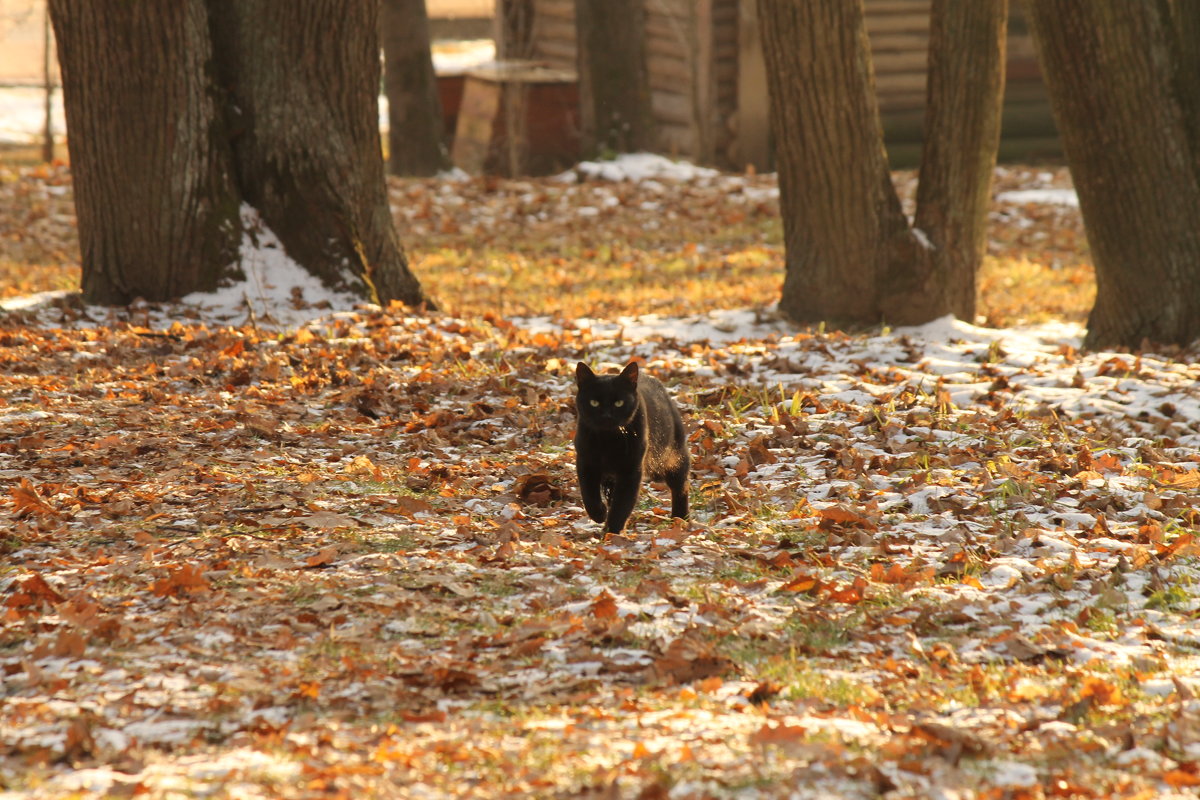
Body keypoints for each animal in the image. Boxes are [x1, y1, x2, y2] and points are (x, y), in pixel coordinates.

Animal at [573, 364, 691, 537]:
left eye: (619, 403)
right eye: (594, 402)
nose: (607, 415)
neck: (608, 440)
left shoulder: (631, 470)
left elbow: (622, 504)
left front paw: (612, 532)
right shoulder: (586, 463)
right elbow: (589, 494)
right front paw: (599, 514)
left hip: (673, 459)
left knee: (681, 487)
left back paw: (680, 518)